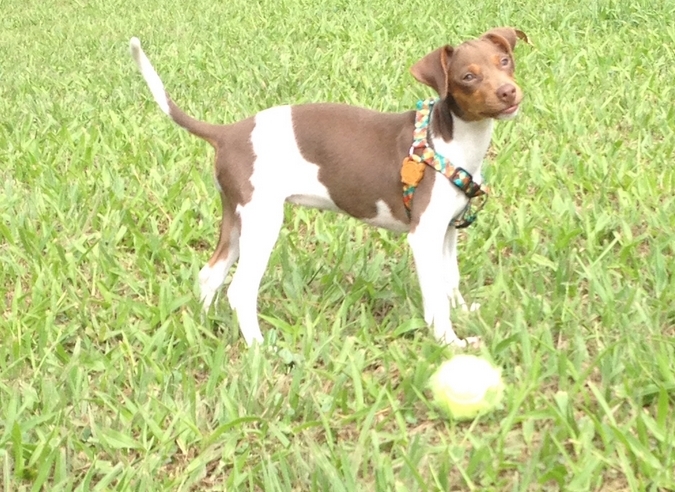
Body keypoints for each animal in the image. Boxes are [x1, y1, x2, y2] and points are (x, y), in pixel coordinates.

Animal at [128, 26, 528, 348]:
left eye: (505, 61)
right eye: (467, 76)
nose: (509, 92)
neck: (450, 140)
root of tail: (228, 134)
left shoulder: (447, 229)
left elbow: (450, 280)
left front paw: (464, 313)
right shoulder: (425, 234)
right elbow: (436, 295)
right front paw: (450, 342)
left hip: (239, 216)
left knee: (210, 273)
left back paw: (203, 326)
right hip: (263, 220)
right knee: (240, 290)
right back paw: (259, 347)